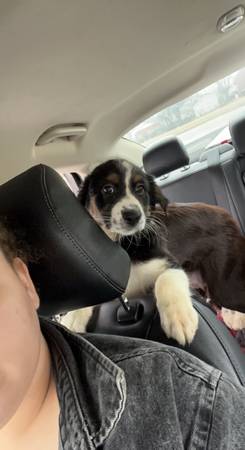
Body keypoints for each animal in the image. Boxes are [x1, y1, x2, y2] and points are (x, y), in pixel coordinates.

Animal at [60, 158, 198, 344]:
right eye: (108, 189)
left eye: (140, 189)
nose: (133, 215)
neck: (123, 245)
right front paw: (72, 318)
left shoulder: (166, 260)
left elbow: (166, 278)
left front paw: (179, 317)